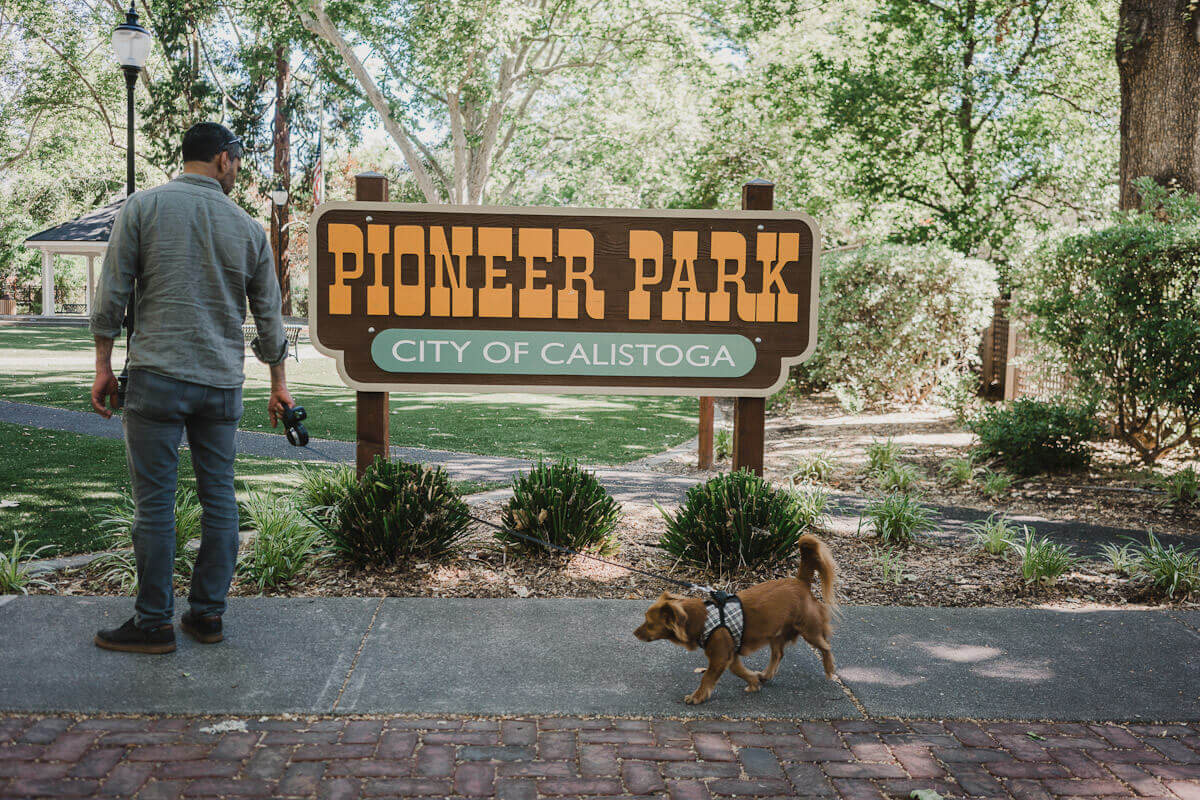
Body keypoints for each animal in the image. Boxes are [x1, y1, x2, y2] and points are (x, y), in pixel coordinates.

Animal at [633, 534, 840, 705]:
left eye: (649, 623)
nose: (634, 633)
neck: (703, 619)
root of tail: (800, 582)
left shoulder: (720, 657)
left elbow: (707, 678)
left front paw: (697, 697)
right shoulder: (731, 655)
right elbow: (739, 671)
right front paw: (754, 682)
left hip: (809, 629)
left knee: (826, 646)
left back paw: (830, 669)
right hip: (776, 633)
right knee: (778, 654)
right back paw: (766, 675)